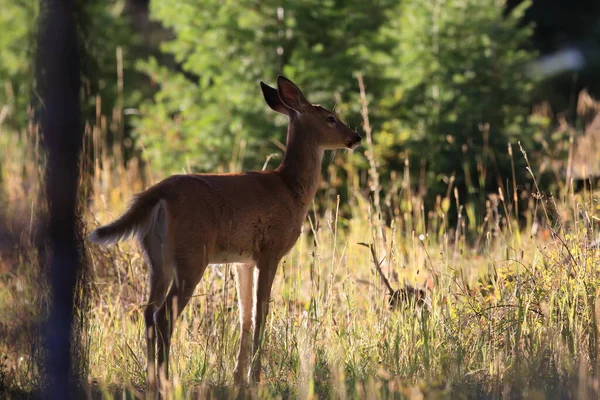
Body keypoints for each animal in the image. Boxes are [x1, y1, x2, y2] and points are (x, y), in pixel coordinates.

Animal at [88, 75, 360, 388]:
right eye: (330, 118)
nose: (355, 137)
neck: (290, 189)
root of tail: (157, 194)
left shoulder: (243, 260)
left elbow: (245, 316)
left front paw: (238, 378)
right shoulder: (270, 250)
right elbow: (262, 312)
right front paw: (257, 378)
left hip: (156, 256)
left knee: (147, 311)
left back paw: (152, 379)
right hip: (191, 254)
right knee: (163, 315)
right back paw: (167, 380)